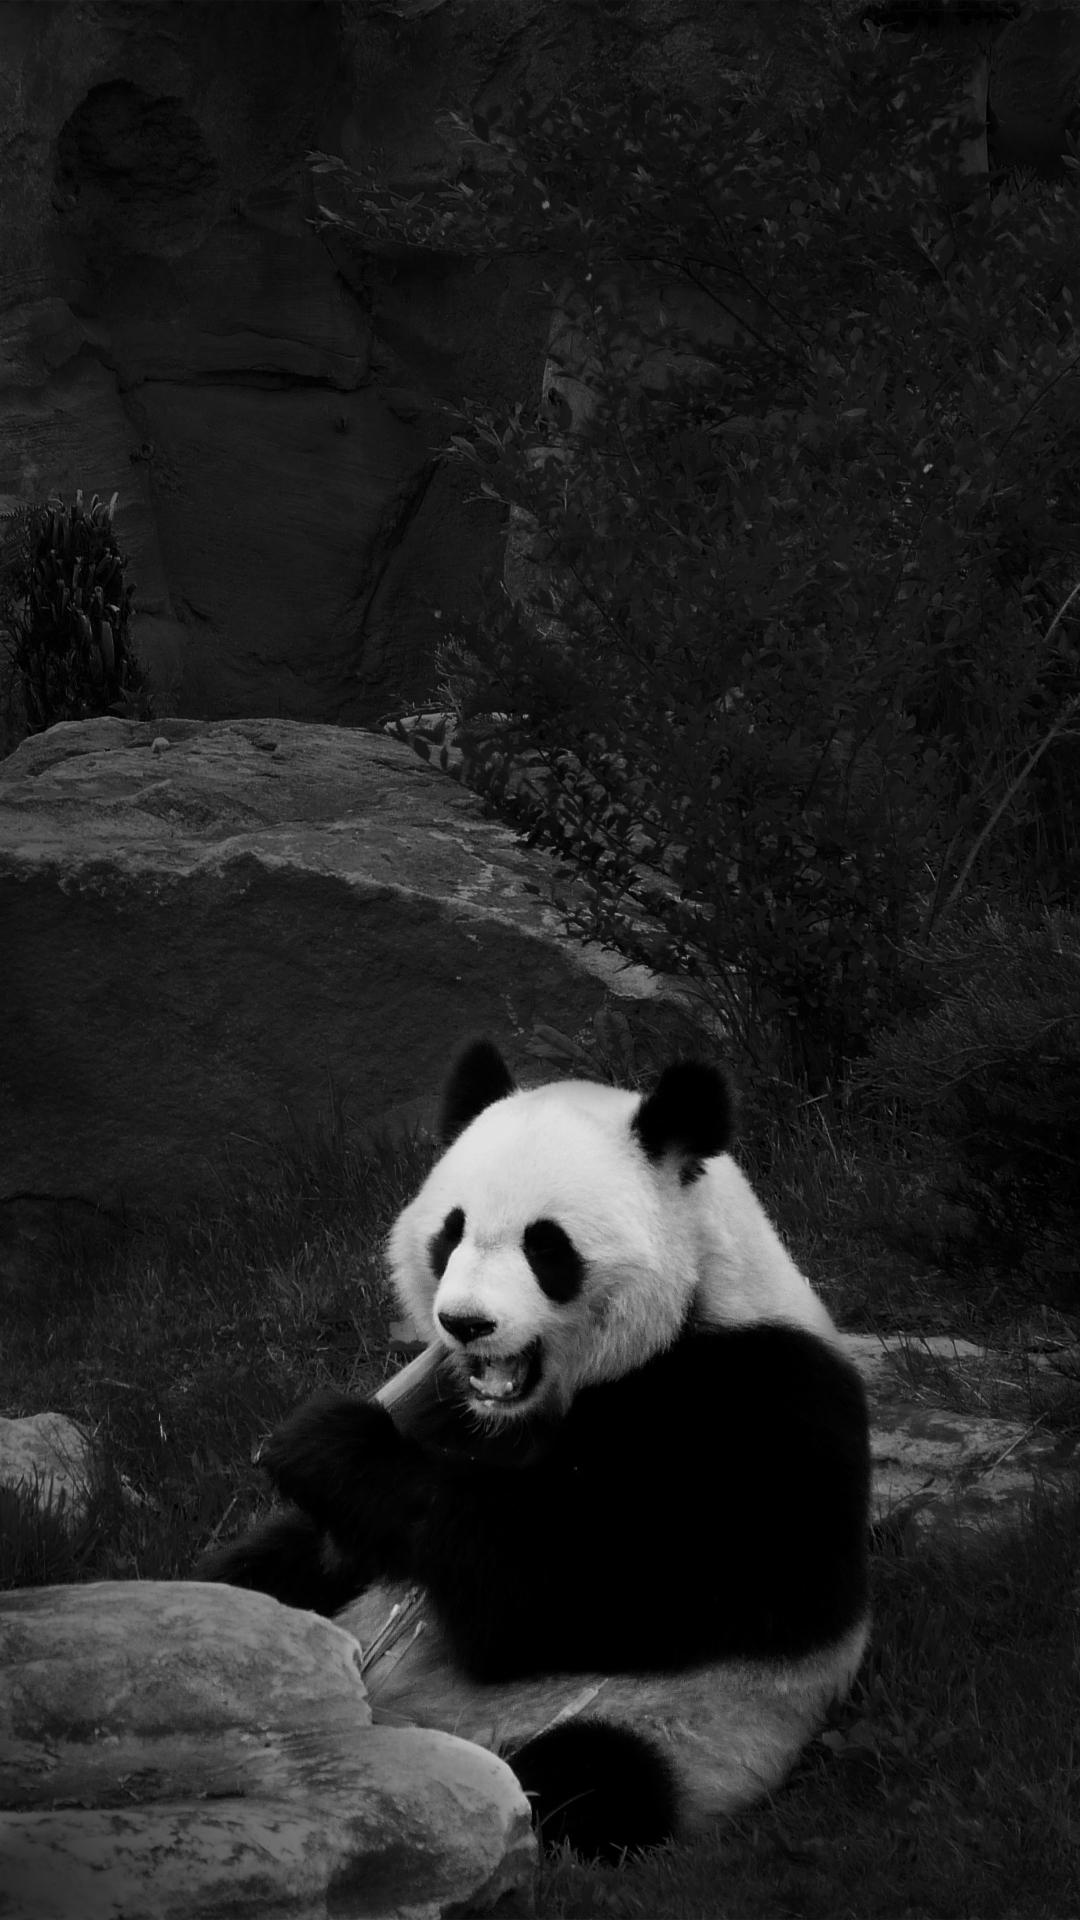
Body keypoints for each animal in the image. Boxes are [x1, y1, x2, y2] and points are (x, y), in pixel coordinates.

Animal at [198, 1037, 870, 1863]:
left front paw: (325, 1441)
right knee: (254, 1589)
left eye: (546, 1246)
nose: (465, 1323)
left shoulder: (756, 1410)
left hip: (681, 1729)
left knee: (591, 1778)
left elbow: (568, 1582)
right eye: (450, 1232)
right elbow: (330, 1545)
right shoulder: (449, 1402)